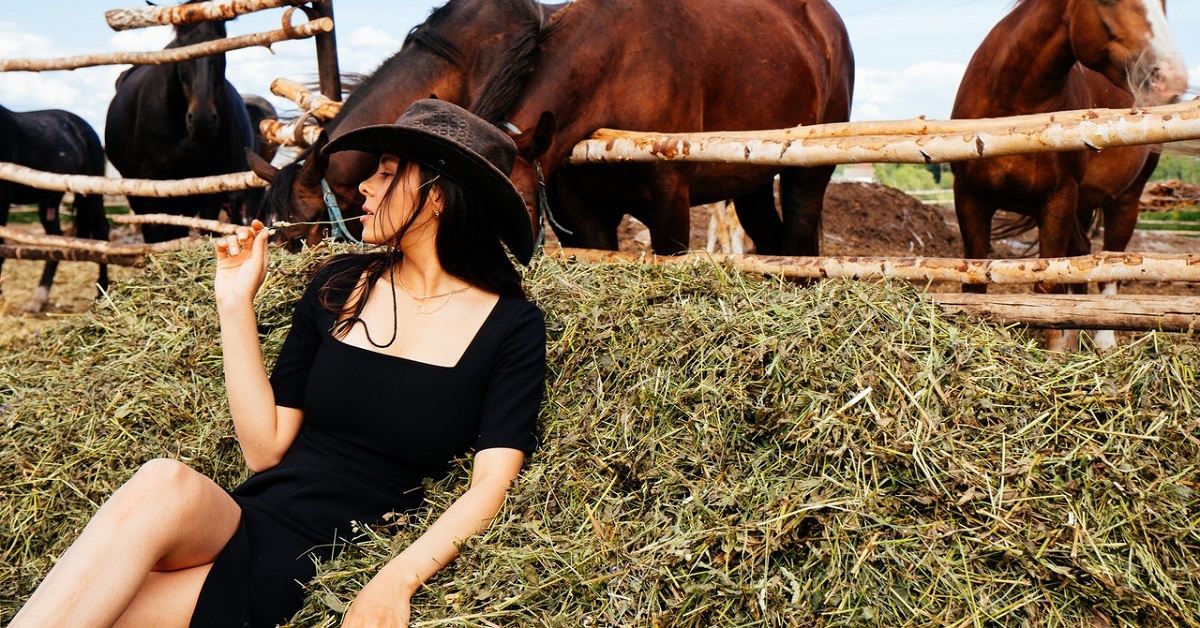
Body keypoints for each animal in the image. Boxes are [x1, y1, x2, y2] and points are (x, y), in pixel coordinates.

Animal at [1, 104, 109, 312]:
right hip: (49, 199)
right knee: (55, 237)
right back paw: (39, 298)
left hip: (91, 191)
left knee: (101, 231)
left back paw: (102, 293)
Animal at [494, 0, 854, 258]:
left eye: (524, 204)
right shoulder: (583, 213)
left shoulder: (670, 198)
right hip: (752, 183)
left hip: (806, 174)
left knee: (798, 240)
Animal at [945, 0, 1190, 348]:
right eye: (1106, 1)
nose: (1172, 80)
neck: (1013, 109)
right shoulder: (970, 199)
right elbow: (974, 284)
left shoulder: (1058, 201)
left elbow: (1047, 287)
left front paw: (1054, 350)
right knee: (1082, 256)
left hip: (1125, 200)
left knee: (1111, 263)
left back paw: (1103, 341)